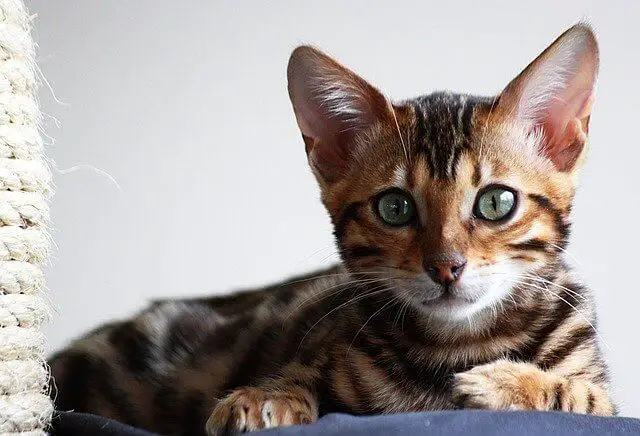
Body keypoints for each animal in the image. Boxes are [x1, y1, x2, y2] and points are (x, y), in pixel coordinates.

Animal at [50, 24, 616, 436]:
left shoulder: (605, 399)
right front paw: (263, 397)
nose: (445, 267)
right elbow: (300, 372)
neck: (459, 344)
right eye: (395, 207)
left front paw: (507, 384)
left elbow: (581, 395)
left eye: (496, 202)